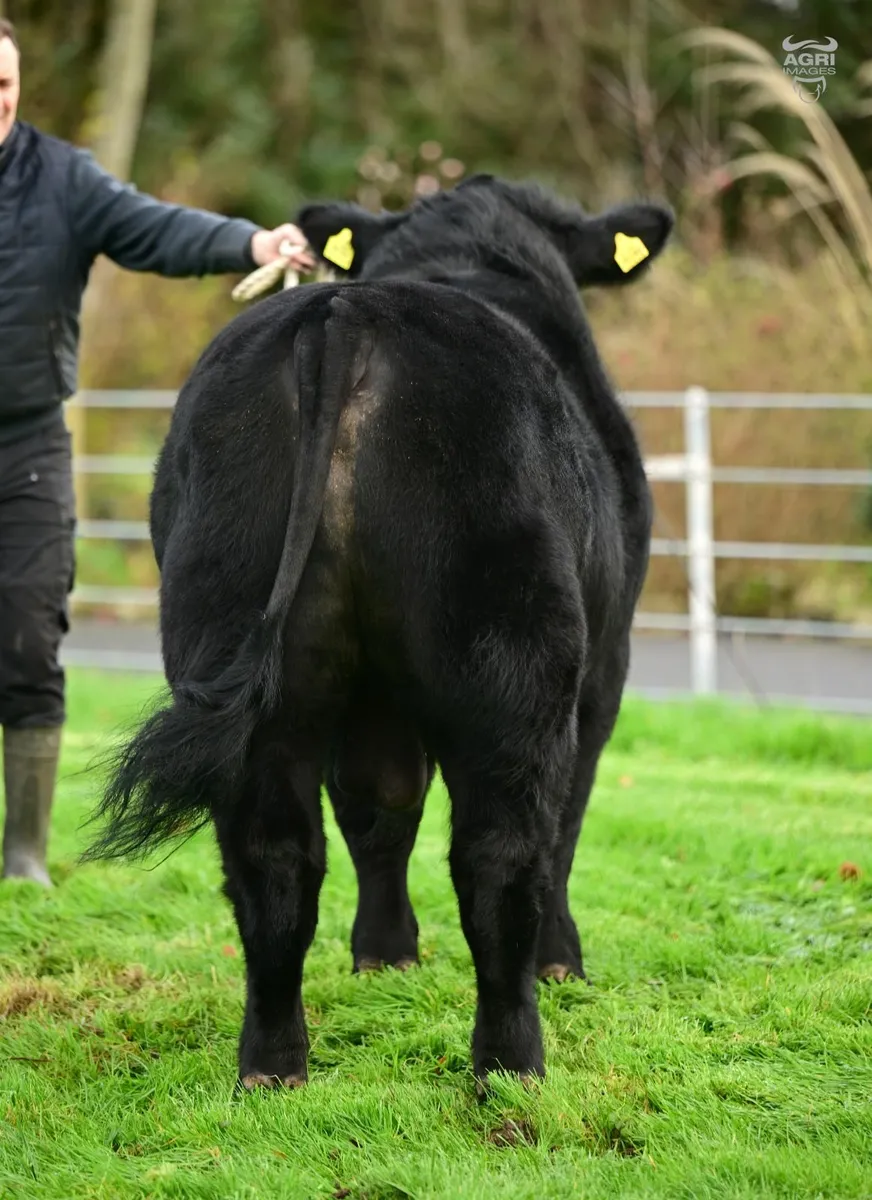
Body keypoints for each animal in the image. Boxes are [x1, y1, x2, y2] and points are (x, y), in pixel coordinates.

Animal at [86, 174, 673, 1092]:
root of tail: (349, 309)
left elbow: (378, 805)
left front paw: (384, 955)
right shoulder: (606, 665)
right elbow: (566, 815)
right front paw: (560, 961)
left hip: (243, 641)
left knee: (273, 852)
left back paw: (272, 1065)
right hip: (515, 649)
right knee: (502, 850)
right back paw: (512, 1064)